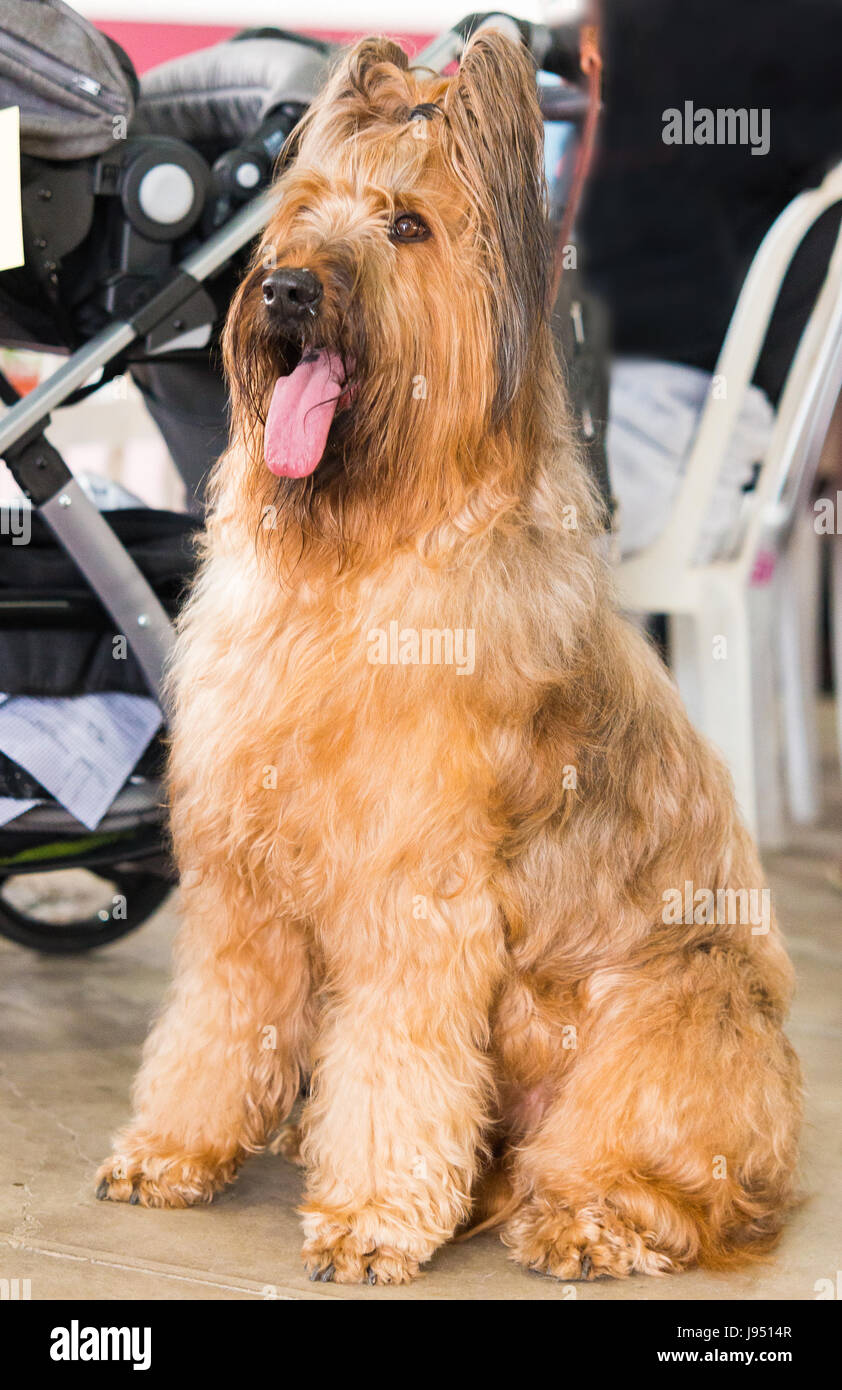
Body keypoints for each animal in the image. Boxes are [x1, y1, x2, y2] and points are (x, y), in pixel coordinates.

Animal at [95, 32, 800, 1284]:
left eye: (407, 226)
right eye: (303, 214)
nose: (283, 289)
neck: (356, 552)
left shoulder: (412, 898)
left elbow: (395, 1064)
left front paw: (372, 1214)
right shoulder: (240, 883)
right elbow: (214, 1022)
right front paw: (176, 1146)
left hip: (679, 1013)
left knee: (668, 1181)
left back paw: (584, 1220)